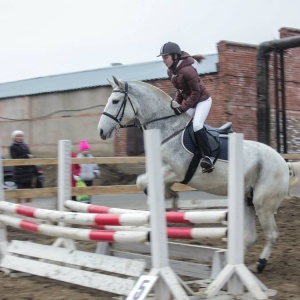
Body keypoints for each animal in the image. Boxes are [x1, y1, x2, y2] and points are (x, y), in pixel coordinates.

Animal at [97, 76, 296, 274]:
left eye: (115, 101)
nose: (101, 131)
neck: (168, 129)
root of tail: (282, 162)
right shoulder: (165, 172)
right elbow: (146, 183)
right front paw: (170, 200)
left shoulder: (176, 172)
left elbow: (143, 182)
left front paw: (165, 201)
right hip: (247, 200)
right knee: (250, 236)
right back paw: (228, 265)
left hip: (263, 204)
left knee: (271, 234)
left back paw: (260, 263)